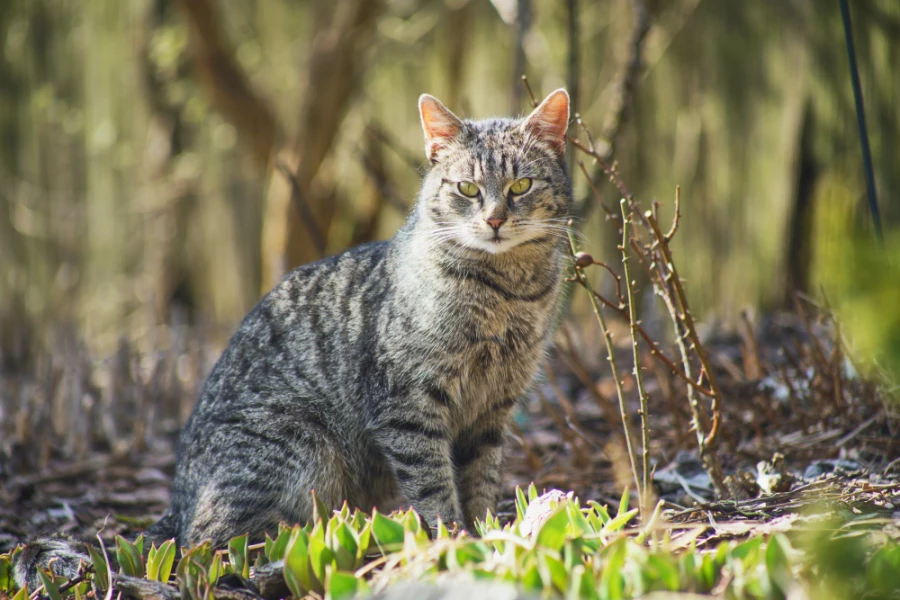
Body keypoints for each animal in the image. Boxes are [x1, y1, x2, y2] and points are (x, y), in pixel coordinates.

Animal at [14, 86, 572, 588]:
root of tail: (177, 499)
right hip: (298, 447)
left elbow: (481, 483)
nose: (494, 219)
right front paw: (452, 546)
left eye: (521, 185)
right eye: (468, 189)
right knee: (208, 545)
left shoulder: (492, 410)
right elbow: (434, 489)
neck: (508, 293)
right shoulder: (408, 405)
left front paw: (487, 541)